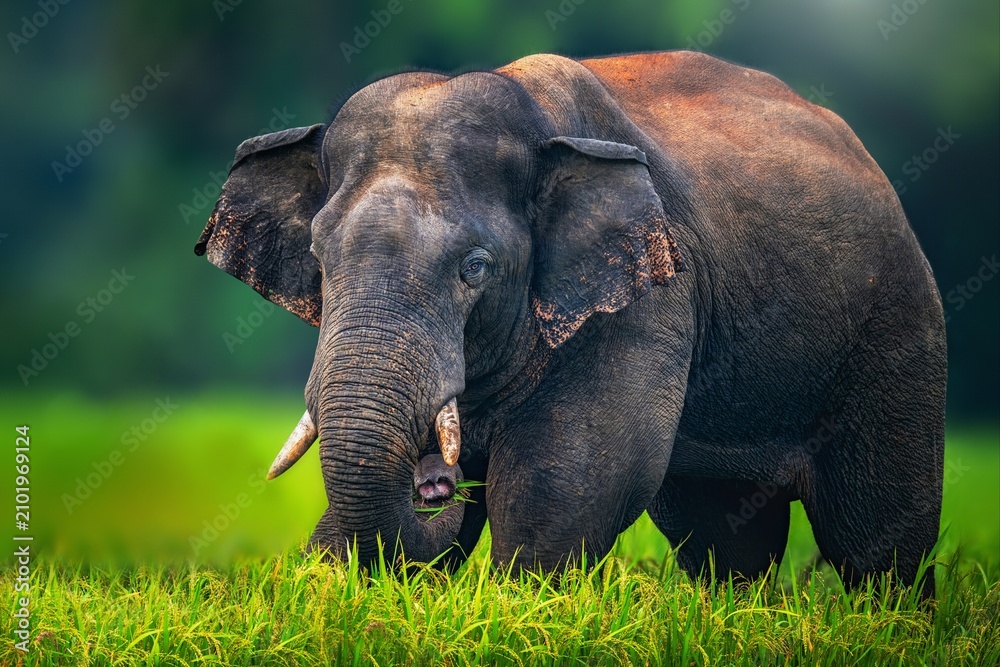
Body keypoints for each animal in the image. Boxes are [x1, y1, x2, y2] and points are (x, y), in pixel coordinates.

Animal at [195, 51, 946, 596]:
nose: (437, 480)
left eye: (475, 267)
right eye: (319, 257)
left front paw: (518, 605)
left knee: (877, 534)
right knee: (721, 530)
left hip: (896, 328)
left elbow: (568, 481)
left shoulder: (647, 294)